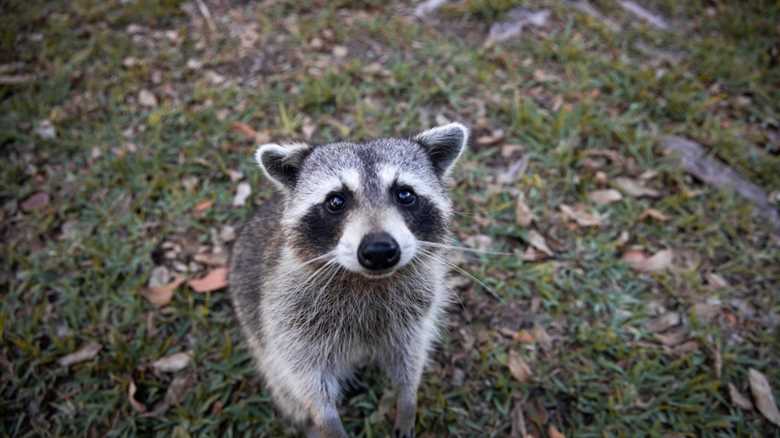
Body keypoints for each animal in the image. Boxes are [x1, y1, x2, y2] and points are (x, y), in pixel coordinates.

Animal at [229, 123, 469, 437]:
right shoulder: (288, 315)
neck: (367, 281)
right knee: (284, 387)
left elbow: (411, 355)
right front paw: (327, 421)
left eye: (405, 194)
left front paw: (407, 400)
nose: (379, 251)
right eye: (336, 201)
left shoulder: (415, 312)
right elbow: (305, 378)